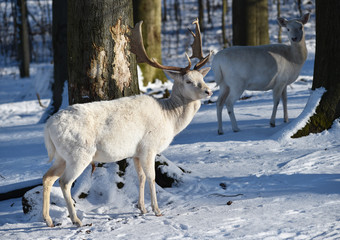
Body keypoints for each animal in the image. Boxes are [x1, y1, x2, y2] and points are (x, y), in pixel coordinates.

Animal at [41, 18, 212, 227]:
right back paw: (76, 220)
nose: (208, 91)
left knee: (47, 177)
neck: (169, 119)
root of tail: (48, 126)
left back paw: (48, 219)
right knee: (64, 182)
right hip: (79, 153)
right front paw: (157, 210)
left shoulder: (136, 152)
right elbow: (151, 177)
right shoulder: (148, 146)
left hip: (61, 155)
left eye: (202, 77)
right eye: (188, 81)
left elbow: (140, 177)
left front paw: (142, 208)